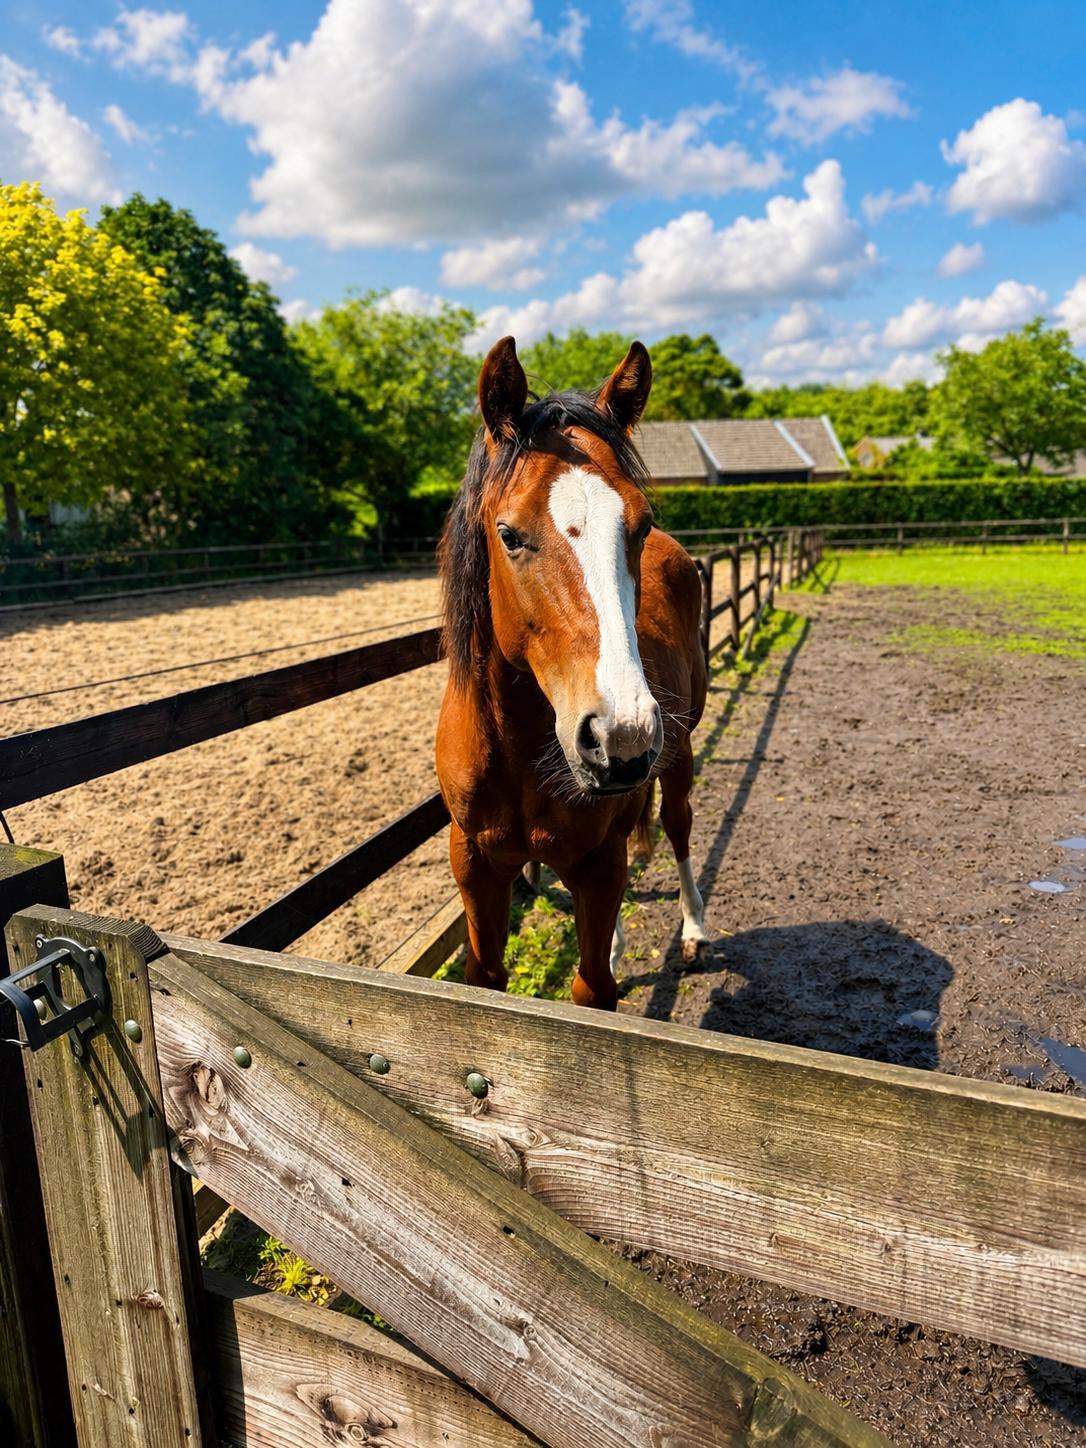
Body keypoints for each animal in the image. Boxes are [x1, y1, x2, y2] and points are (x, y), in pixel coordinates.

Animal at [435, 336, 709, 1010]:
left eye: (639, 524)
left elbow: (593, 990)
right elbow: (485, 975)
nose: (621, 736)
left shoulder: (599, 862)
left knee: (679, 825)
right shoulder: (474, 864)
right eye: (508, 534)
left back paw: (695, 930)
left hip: (681, 748)